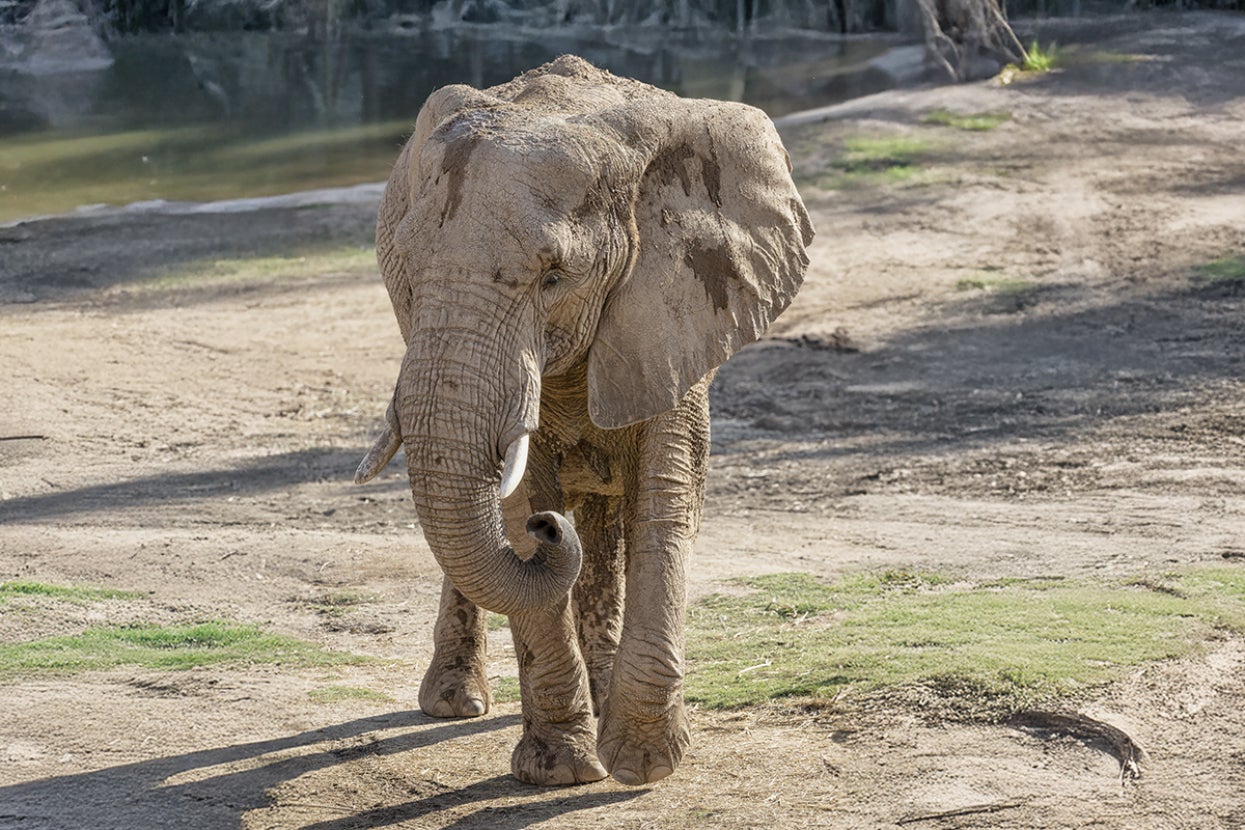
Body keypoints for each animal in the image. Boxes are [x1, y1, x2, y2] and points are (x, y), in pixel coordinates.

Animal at [354, 55, 813, 787]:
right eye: (406, 273)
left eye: (555, 277)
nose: (550, 531)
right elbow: (516, 497)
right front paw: (562, 771)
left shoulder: (676, 305)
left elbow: (666, 495)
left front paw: (642, 765)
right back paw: (456, 703)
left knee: (602, 520)